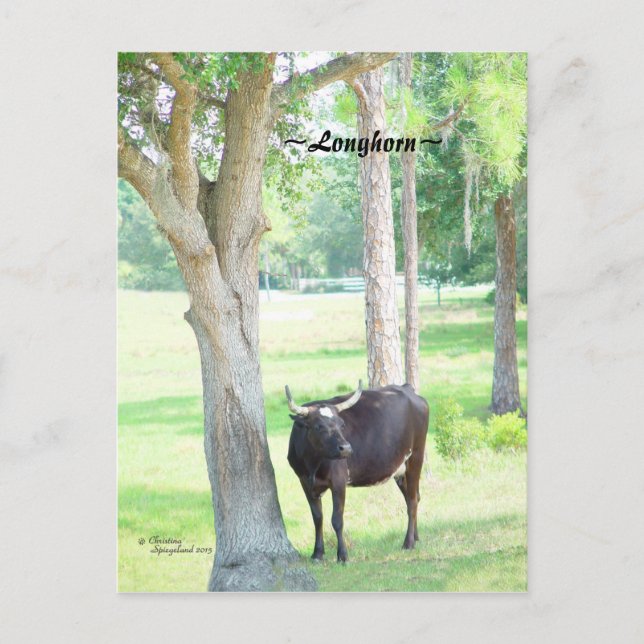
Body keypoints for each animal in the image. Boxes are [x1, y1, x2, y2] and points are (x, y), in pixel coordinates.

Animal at [285, 380, 429, 563]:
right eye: (318, 426)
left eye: (341, 424)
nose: (346, 448)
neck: (312, 464)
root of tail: (406, 388)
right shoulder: (305, 482)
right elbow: (317, 518)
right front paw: (317, 553)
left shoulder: (339, 482)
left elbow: (337, 520)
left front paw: (342, 556)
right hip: (400, 470)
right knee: (414, 497)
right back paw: (416, 537)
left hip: (415, 458)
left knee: (412, 501)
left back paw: (408, 542)